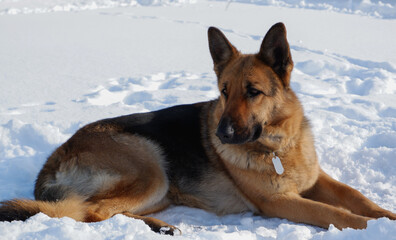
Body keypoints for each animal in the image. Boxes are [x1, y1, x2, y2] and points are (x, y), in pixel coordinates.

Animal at [0, 23, 396, 234]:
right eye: (223, 92)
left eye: (253, 92)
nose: (221, 135)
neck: (278, 145)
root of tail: (51, 163)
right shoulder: (279, 202)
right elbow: (336, 214)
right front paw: (373, 229)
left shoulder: (317, 180)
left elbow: (357, 198)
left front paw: (387, 216)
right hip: (151, 169)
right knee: (94, 212)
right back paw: (157, 227)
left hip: (159, 190)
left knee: (97, 210)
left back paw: (159, 226)